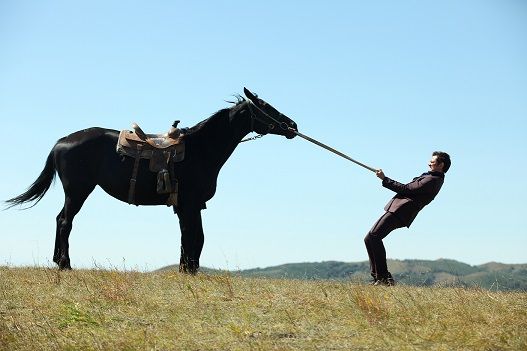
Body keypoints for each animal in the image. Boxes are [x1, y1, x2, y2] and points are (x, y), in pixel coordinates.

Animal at [5, 88, 296, 276]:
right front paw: (188, 270)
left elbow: (193, 236)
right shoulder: (189, 204)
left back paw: (57, 261)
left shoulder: (191, 206)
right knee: (65, 222)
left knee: (59, 219)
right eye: (265, 107)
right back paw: (65, 263)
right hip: (78, 191)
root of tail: (62, 141)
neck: (201, 149)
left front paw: (188, 267)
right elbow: (193, 235)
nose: (292, 125)